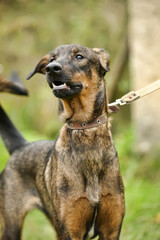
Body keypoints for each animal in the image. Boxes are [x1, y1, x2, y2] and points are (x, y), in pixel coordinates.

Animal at [0, 44, 125, 239]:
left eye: (79, 56)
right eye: (52, 59)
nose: (51, 68)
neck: (86, 131)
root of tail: (21, 146)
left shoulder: (111, 228)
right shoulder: (70, 229)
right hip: (12, 223)